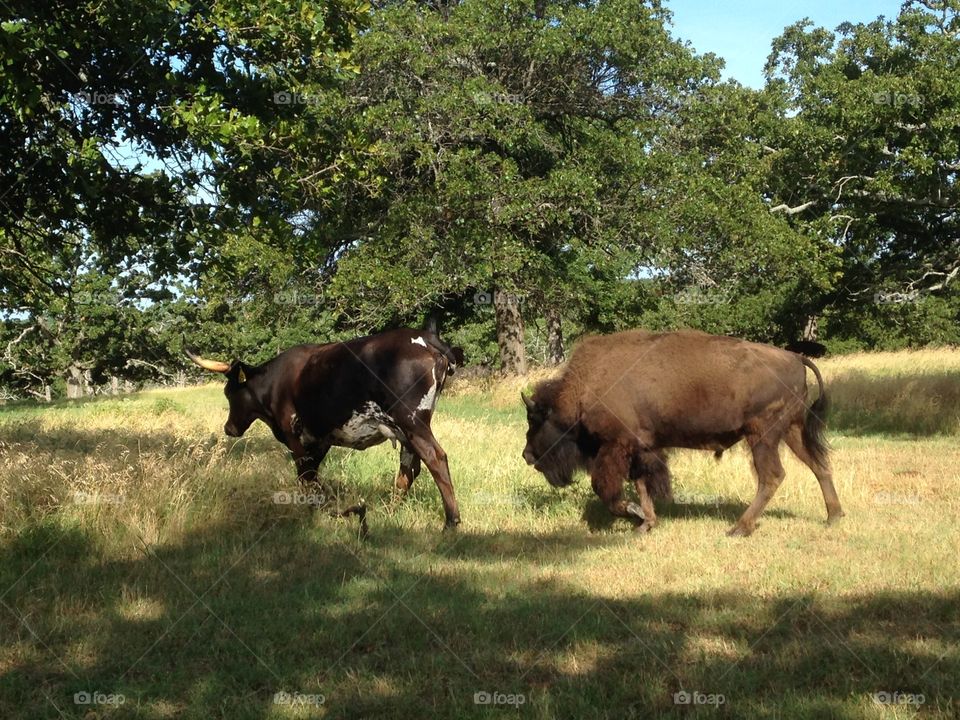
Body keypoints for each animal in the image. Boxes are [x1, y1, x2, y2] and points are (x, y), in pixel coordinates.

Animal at [185, 328, 465, 530]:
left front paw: (310, 514)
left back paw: (451, 522)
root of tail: (426, 339)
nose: (229, 428)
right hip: (407, 429)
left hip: (412, 421)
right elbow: (312, 476)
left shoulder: (294, 434)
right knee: (409, 468)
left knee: (435, 459)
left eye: (229, 393)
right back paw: (390, 511)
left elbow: (305, 476)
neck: (273, 381)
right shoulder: (320, 439)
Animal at [521, 329, 844, 537]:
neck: (583, 389)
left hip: (762, 435)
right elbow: (641, 484)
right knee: (819, 466)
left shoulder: (617, 446)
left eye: (535, 420)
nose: (526, 455)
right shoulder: (642, 449)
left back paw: (739, 528)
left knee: (772, 476)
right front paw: (646, 523)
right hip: (791, 431)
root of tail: (795, 358)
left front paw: (635, 514)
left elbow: (606, 489)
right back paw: (833, 517)